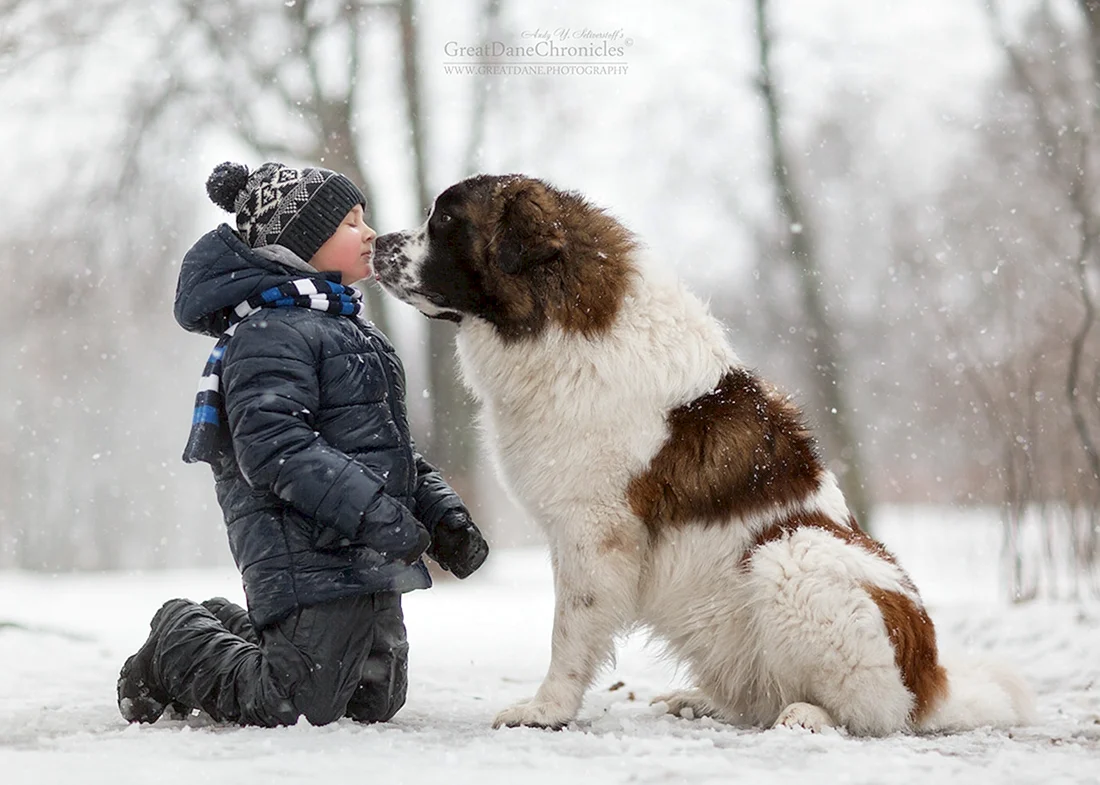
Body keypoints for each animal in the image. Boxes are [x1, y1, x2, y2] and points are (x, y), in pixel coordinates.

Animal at [374, 174, 1034, 730]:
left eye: (444, 220)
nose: (379, 241)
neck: (558, 323)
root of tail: (934, 682)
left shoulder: (595, 531)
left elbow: (569, 629)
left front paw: (546, 709)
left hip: (796, 554)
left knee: (877, 712)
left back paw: (809, 716)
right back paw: (703, 702)